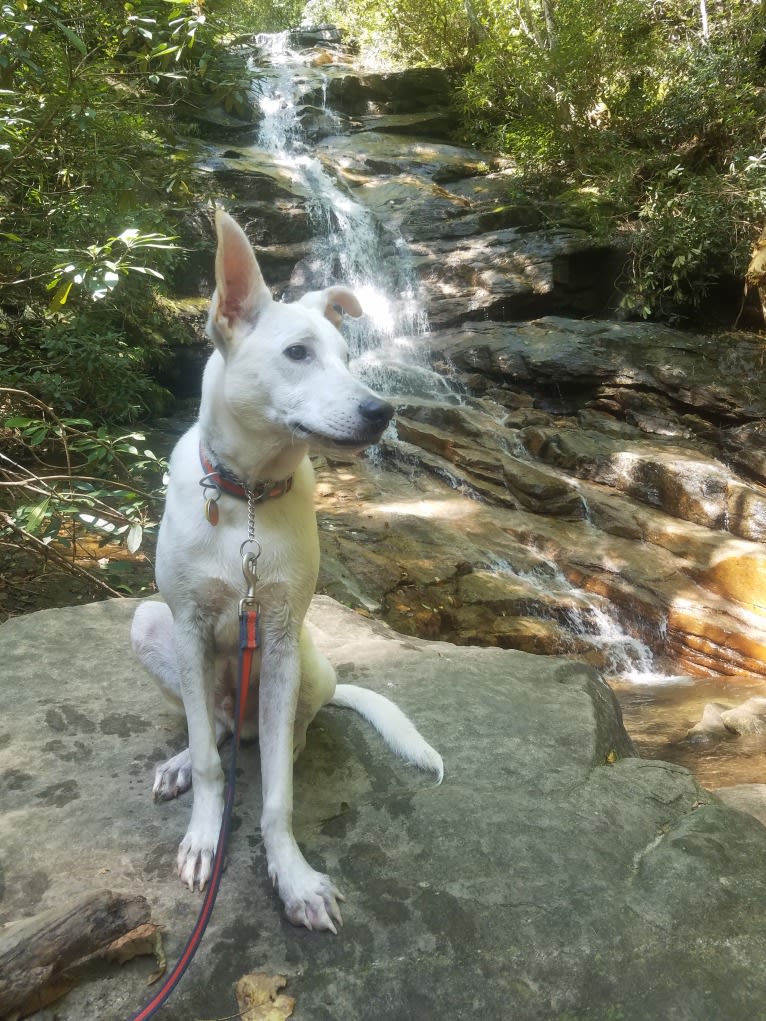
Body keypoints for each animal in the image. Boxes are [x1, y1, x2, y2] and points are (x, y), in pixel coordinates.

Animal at [131, 207, 443, 935]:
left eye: (348, 357)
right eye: (298, 353)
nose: (382, 412)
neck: (247, 500)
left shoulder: (274, 643)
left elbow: (276, 794)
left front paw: (292, 875)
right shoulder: (188, 628)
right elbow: (212, 764)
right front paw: (203, 836)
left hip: (308, 666)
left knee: (277, 739)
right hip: (149, 626)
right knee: (214, 727)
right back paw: (185, 760)